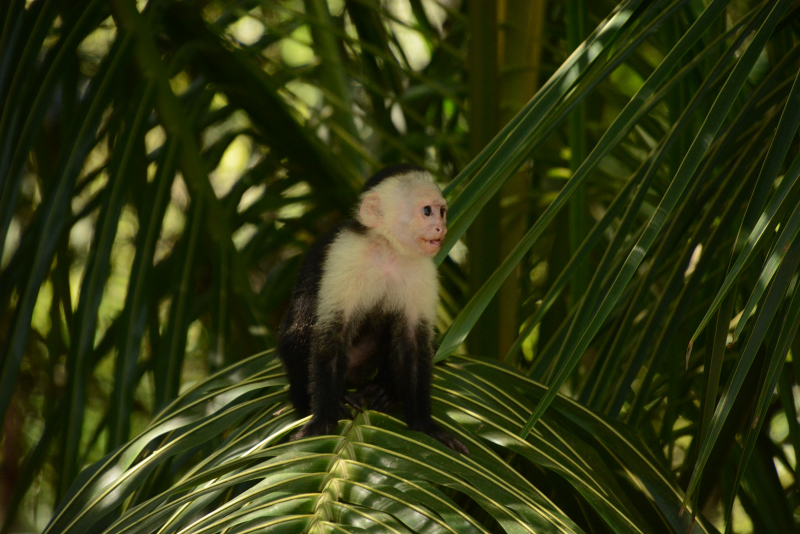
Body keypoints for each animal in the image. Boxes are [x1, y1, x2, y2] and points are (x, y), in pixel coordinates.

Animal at [282, 165, 468, 454]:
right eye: (426, 211)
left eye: (442, 211)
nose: (441, 227)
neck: (389, 249)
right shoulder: (345, 253)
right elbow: (332, 334)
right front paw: (323, 421)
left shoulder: (423, 270)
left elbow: (414, 342)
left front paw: (424, 425)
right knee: (299, 330)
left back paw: (386, 390)